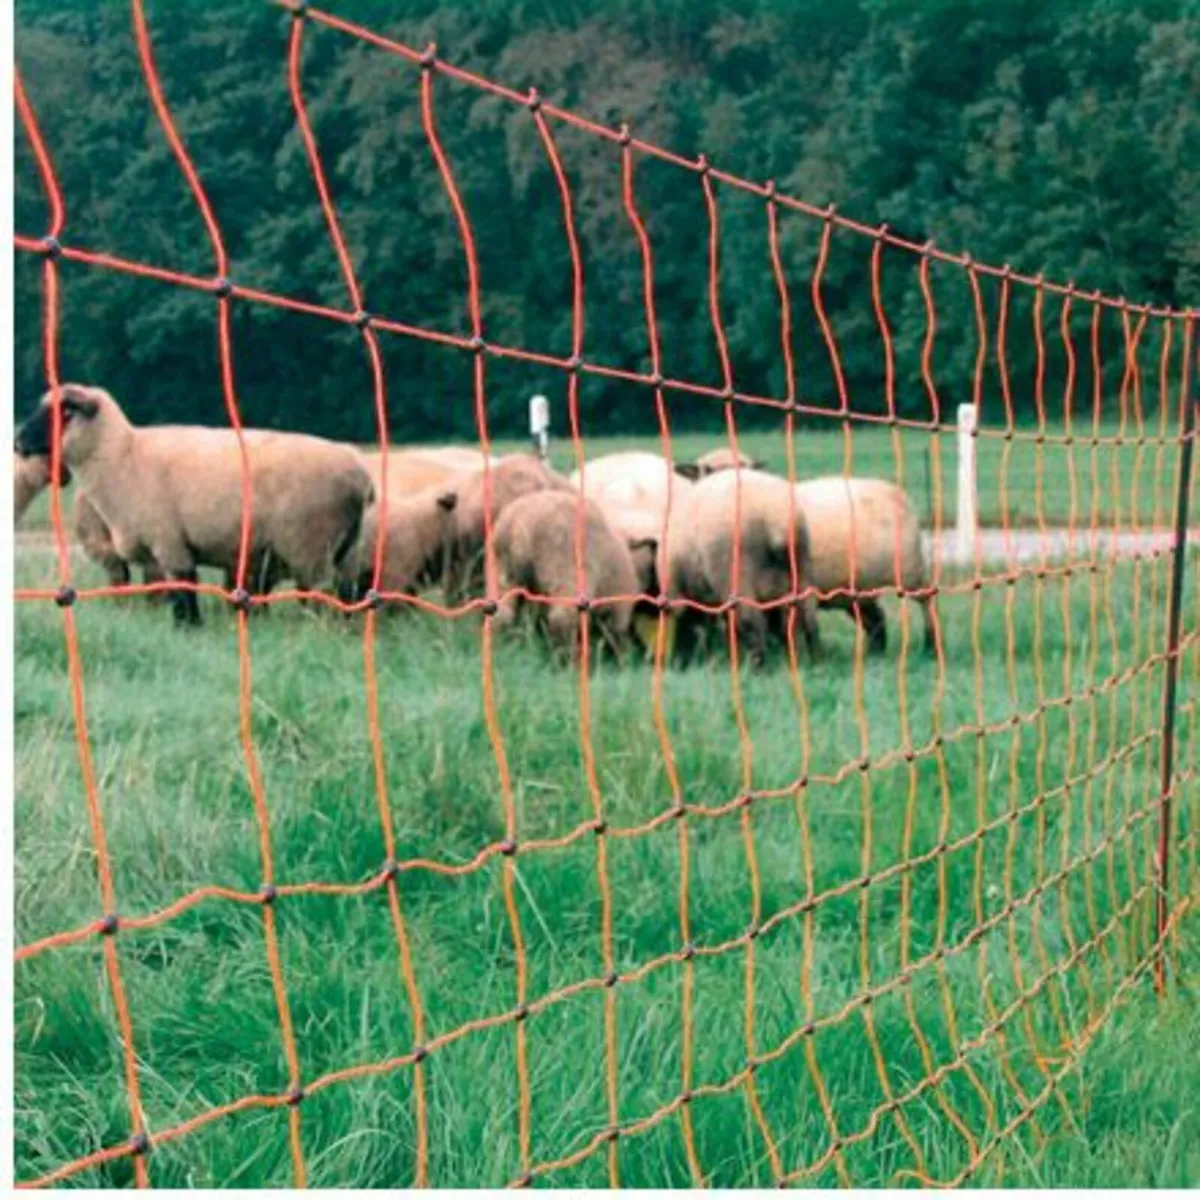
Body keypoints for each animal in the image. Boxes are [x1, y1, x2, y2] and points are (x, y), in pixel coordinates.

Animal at [14, 384, 373, 625]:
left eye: (65, 412)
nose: (17, 441)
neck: (123, 456)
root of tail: (361, 478)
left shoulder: (169, 541)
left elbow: (184, 589)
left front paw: (189, 627)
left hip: (310, 547)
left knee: (321, 596)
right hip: (346, 549)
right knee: (347, 593)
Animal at [491, 489, 640, 659]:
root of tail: (518, 523)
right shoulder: (619, 606)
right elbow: (617, 633)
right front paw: (623, 659)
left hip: (504, 570)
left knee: (502, 613)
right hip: (569, 570)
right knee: (562, 617)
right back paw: (566, 658)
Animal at [661, 466, 818, 664]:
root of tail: (777, 516)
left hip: (734, 570)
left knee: (751, 621)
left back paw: (756, 664)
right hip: (801, 567)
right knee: (808, 616)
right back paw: (813, 659)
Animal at [793, 476, 935, 655]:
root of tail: (898, 493)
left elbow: (807, 629)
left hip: (910, 572)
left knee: (927, 600)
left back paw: (930, 647)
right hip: (858, 589)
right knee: (876, 618)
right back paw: (876, 654)